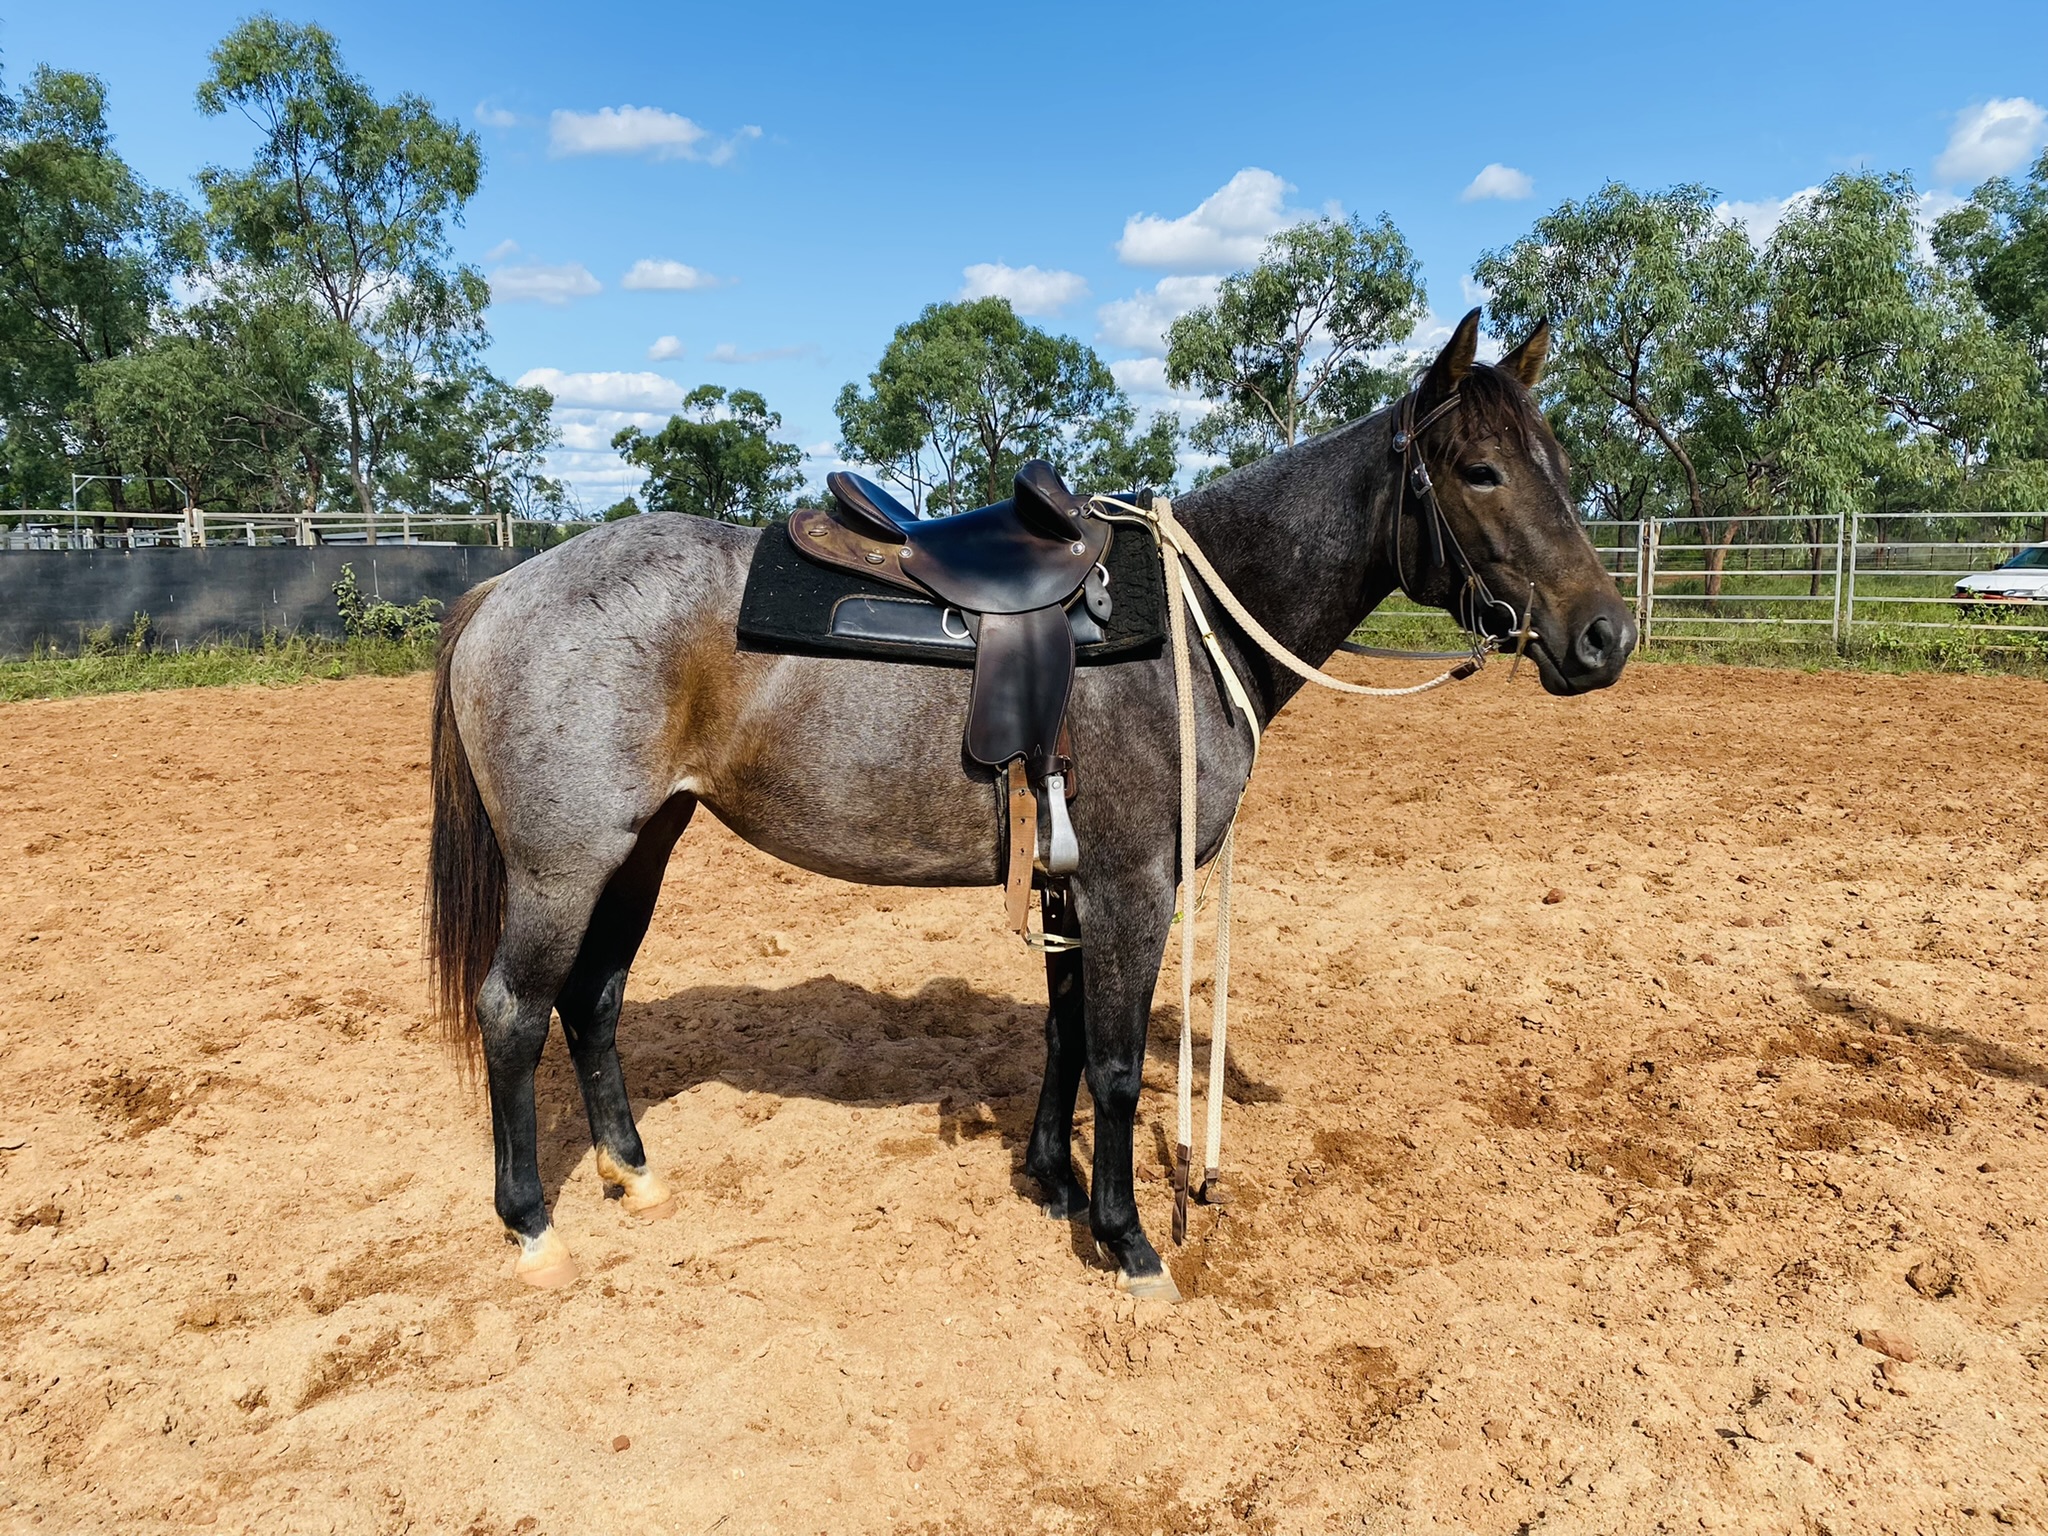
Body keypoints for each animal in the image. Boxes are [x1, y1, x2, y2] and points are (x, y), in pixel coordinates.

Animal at [424, 309, 1636, 1297]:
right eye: (1478, 470)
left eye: (1559, 461)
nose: (1604, 636)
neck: (1193, 623)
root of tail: (506, 586)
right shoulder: (1134, 885)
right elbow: (1112, 1064)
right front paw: (1128, 1239)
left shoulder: (1070, 880)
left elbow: (1061, 1034)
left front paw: (1054, 1182)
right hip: (563, 866)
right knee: (515, 1011)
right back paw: (532, 1225)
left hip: (640, 848)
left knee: (594, 1001)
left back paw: (633, 1175)